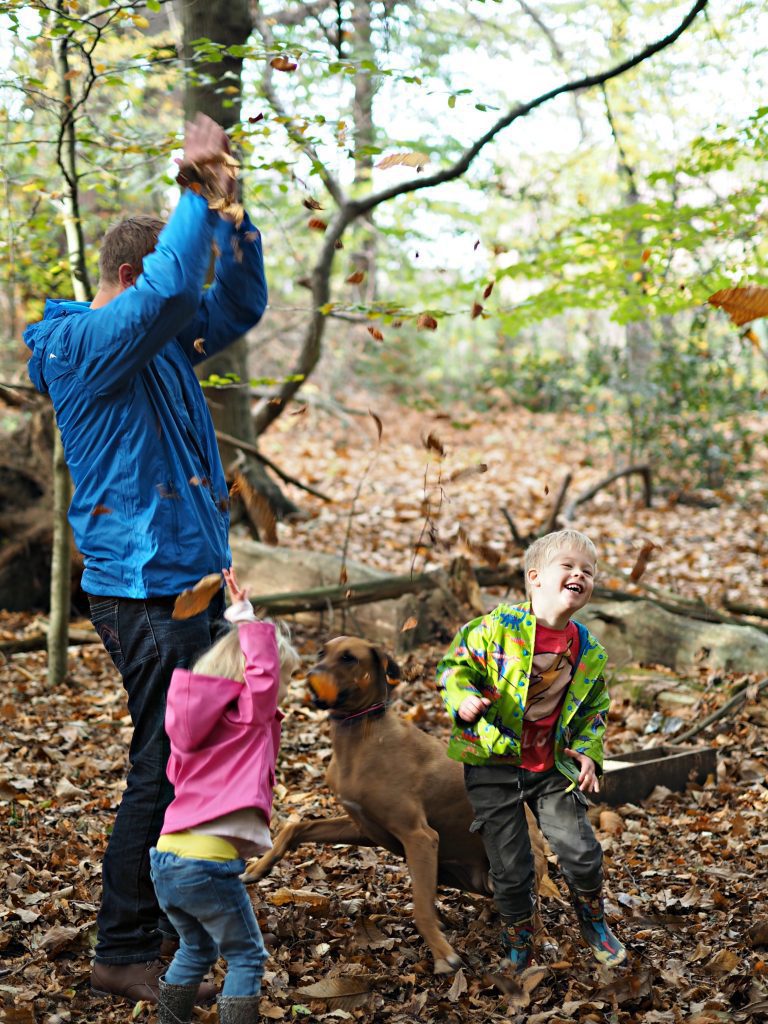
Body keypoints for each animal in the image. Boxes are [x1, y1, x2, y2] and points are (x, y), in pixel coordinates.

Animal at [243, 634, 548, 970]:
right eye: (322, 653)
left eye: (349, 658)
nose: (310, 675)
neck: (361, 735)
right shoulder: (360, 825)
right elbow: (296, 828)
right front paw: (258, 867)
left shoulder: (420, 837)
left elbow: (421, 909)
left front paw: (443, 953)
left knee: (533, 915)